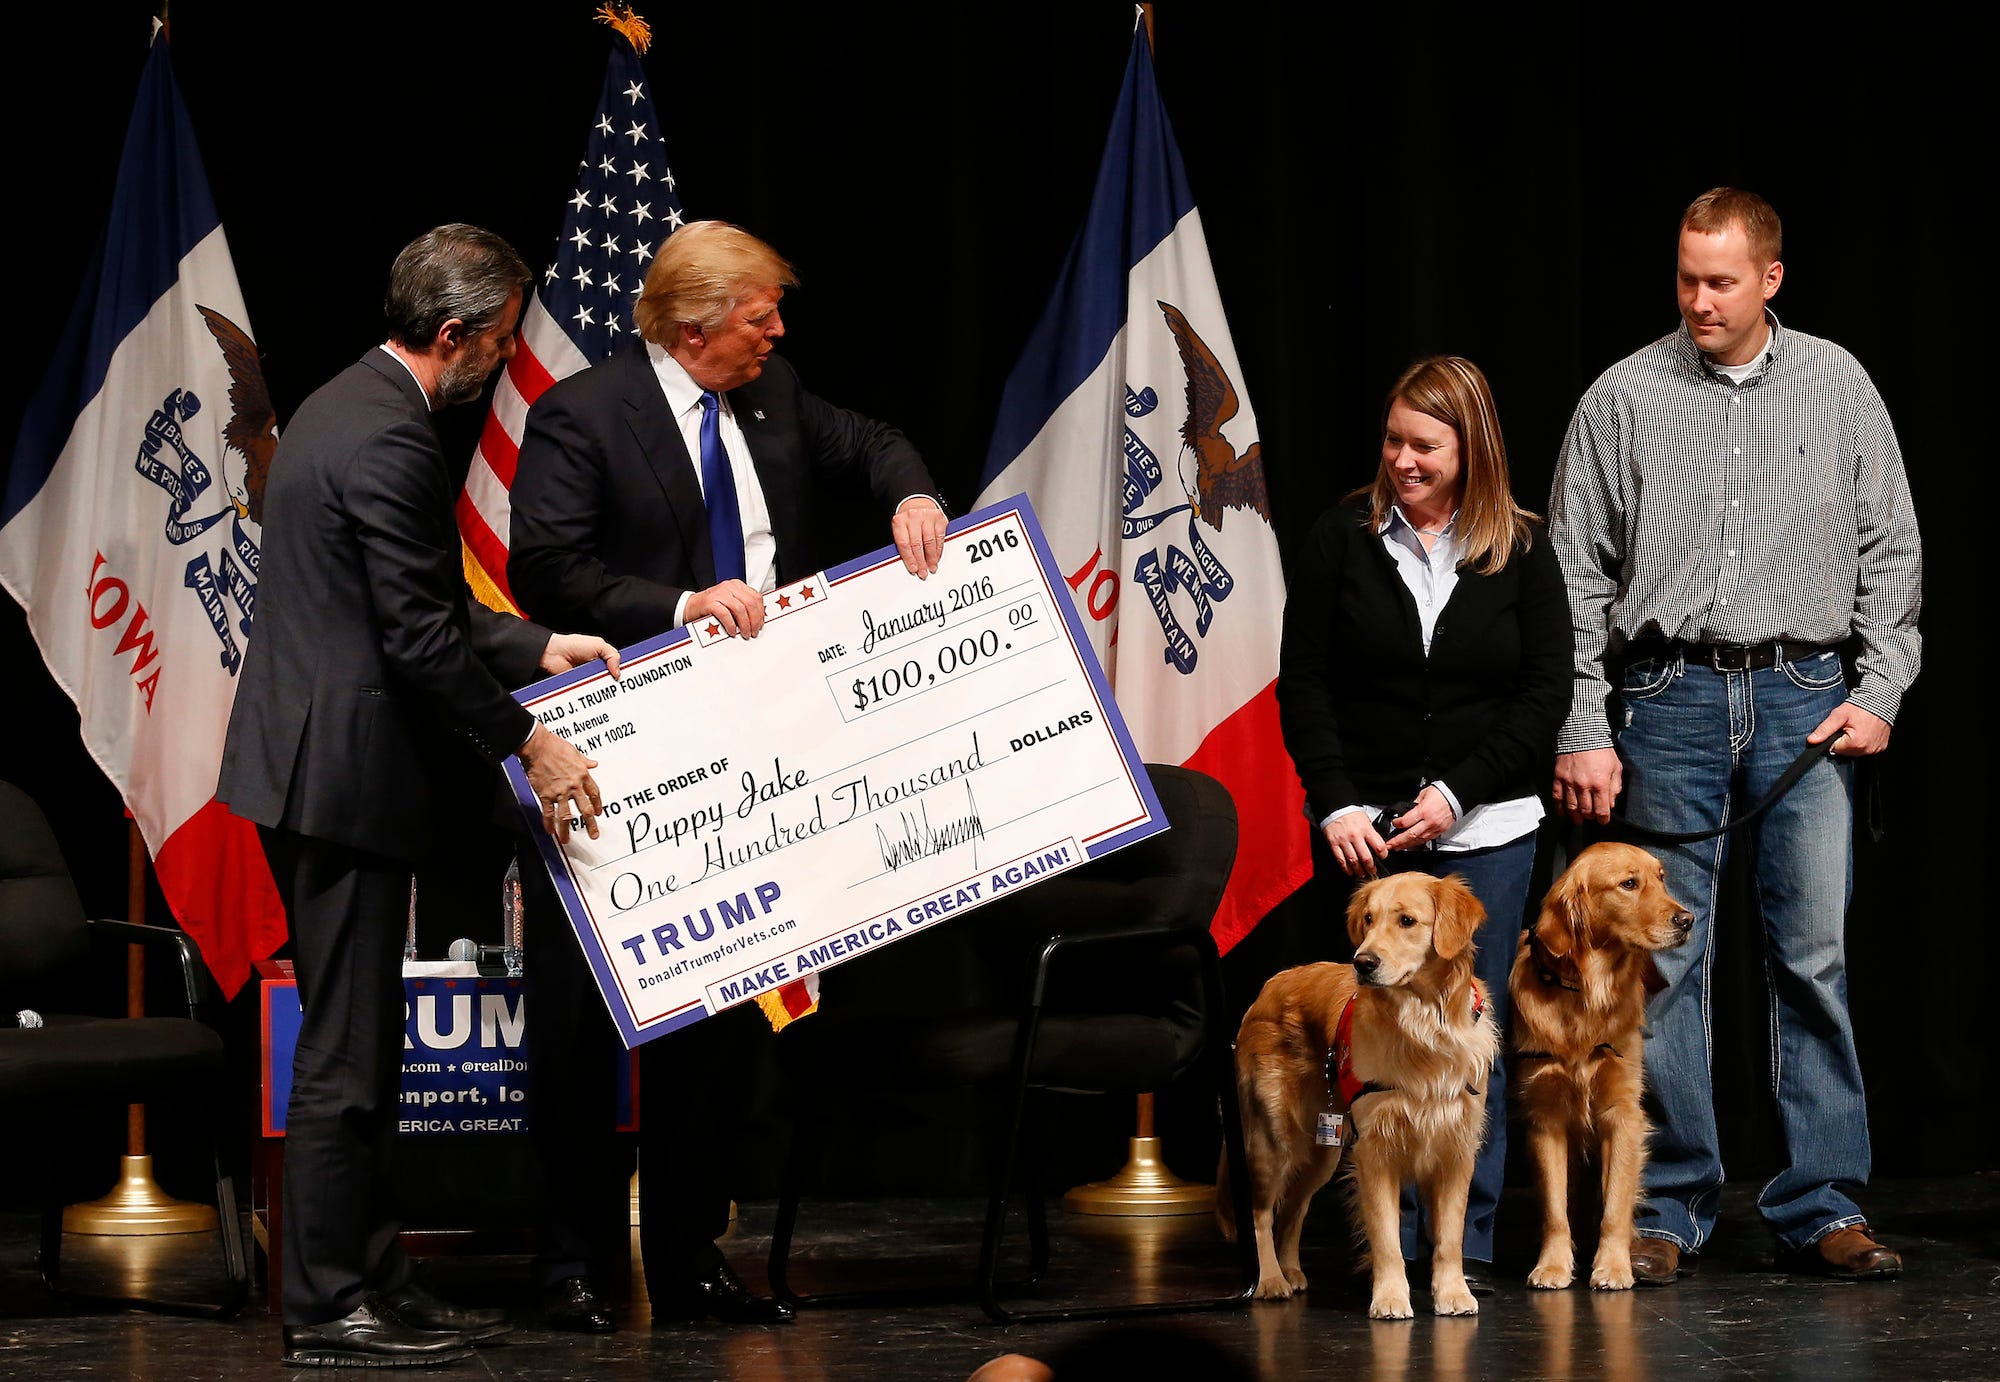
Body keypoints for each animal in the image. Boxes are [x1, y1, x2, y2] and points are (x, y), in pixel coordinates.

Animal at [1216, 876, 1504, 1320]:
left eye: (1407, 921)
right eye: (1368, 919)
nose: (1362, 962)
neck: (1423, 1024)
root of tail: (1270, 986)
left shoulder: (1456, 1148)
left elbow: (1450, 1236)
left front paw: (1454, 1292)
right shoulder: (1375, 1151)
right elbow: (1386, 1237)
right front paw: (1390, 1297)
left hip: (1324, 1148)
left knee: (1294, 1210)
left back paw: (1291, 1270)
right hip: (1273, 1139)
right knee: (1261, 1212)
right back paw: (1270, 1279)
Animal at [1512, 844, 1688, 1296]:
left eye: (1661, 878)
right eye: (1629, 884)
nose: (1687, 920)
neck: (1587, 994)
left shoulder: (1622, 1115)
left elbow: (1615, 1206)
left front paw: (1613, 1266)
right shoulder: (1547, 1118)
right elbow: (1555, 1209)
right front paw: (1553, 1266)